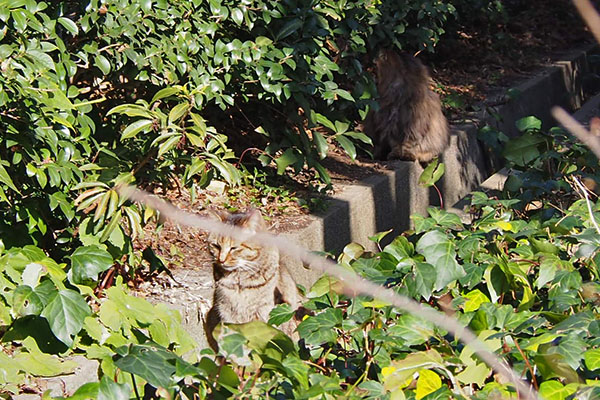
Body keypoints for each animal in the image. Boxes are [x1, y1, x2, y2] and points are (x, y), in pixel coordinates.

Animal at [205, 209, 300, 350]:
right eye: (216, 246)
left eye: (234, 248)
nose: (221, 260)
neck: (239, 283)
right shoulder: (227, 315)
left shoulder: (263, 316)